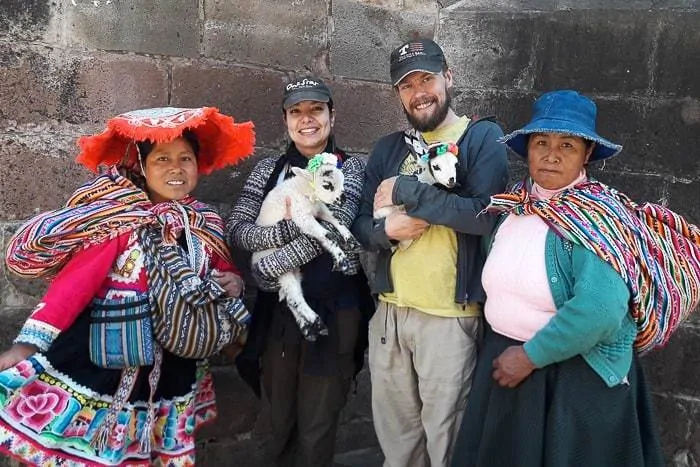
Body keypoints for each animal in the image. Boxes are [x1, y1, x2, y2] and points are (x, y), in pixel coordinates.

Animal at [252, 153, 356, 340]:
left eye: (343, 179)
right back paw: (316, 322)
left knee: (291, 297)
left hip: (294, 271)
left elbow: (336, 220)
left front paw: (350, 240)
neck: (304, 189)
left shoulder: (320, 209)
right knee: (294, 298)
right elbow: (327, 235)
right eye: (327, 185)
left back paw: (307, 328)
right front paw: (341, 260)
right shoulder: (302, 217)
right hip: (281, 269)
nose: (343, 198)